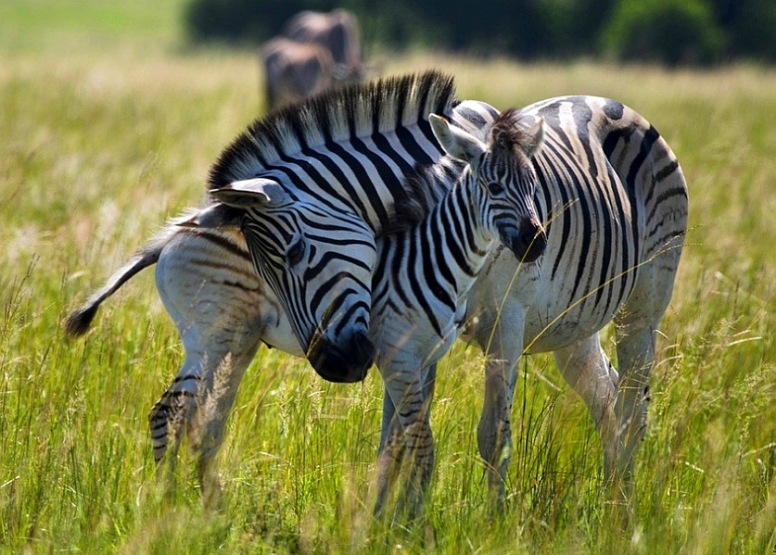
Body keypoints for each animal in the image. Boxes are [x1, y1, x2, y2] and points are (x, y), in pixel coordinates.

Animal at [65, 73, 504, 496]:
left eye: (295, 253)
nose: (335, 364)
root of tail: (170, 236)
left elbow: (402, 437)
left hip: (234, 341)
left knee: (204, 426)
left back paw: (208, 511)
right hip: (216, 333)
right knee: (170, 414)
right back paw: (167, 509)